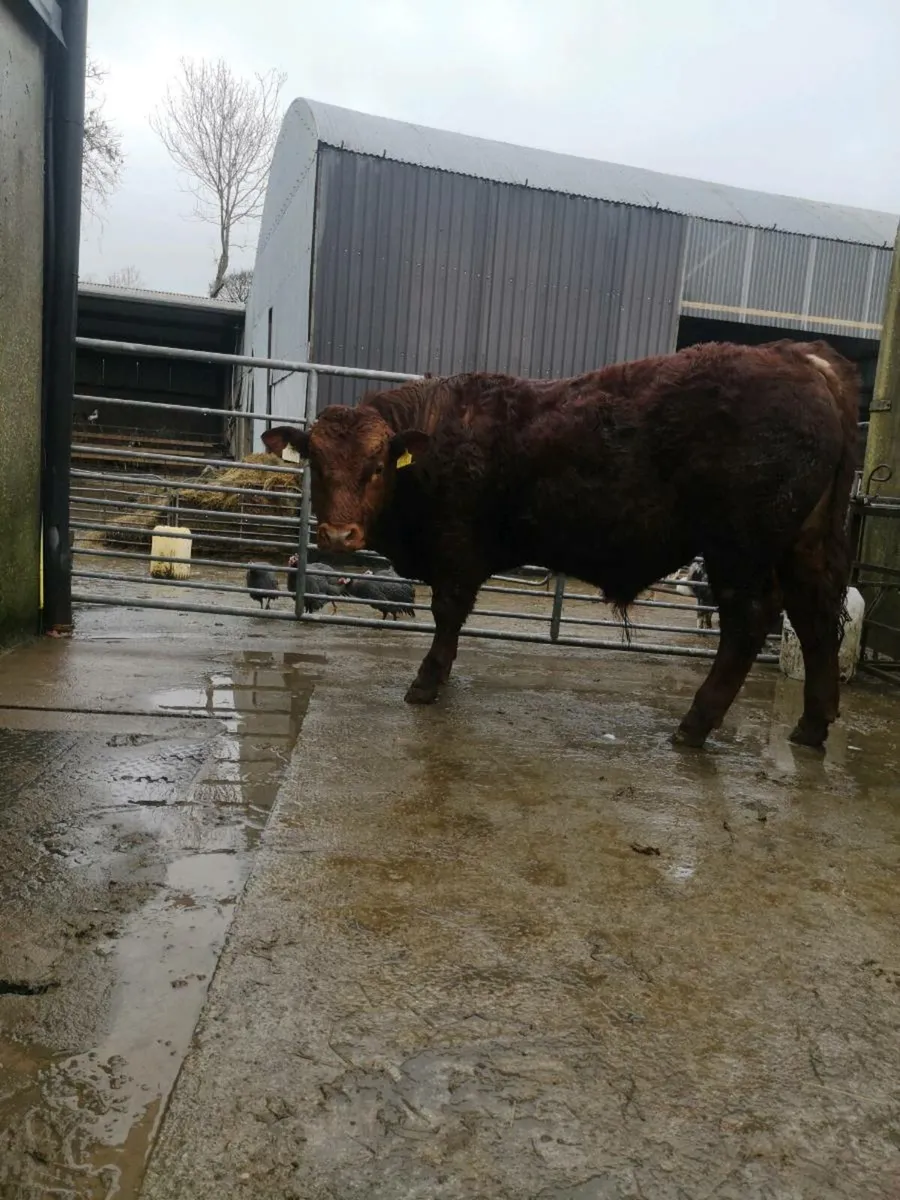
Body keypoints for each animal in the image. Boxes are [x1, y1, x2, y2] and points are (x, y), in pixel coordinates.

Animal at [262, 339, 859, 751]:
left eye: (377, 466)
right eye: (317, 463)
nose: (339, 535)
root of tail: (799, 355)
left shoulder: (456, 550)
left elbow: (448, 614)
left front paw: (427, 683)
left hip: (738, 550)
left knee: (749, 623)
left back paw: (694, 725)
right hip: (804, 545)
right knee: (816, 618)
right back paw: (811, 726)